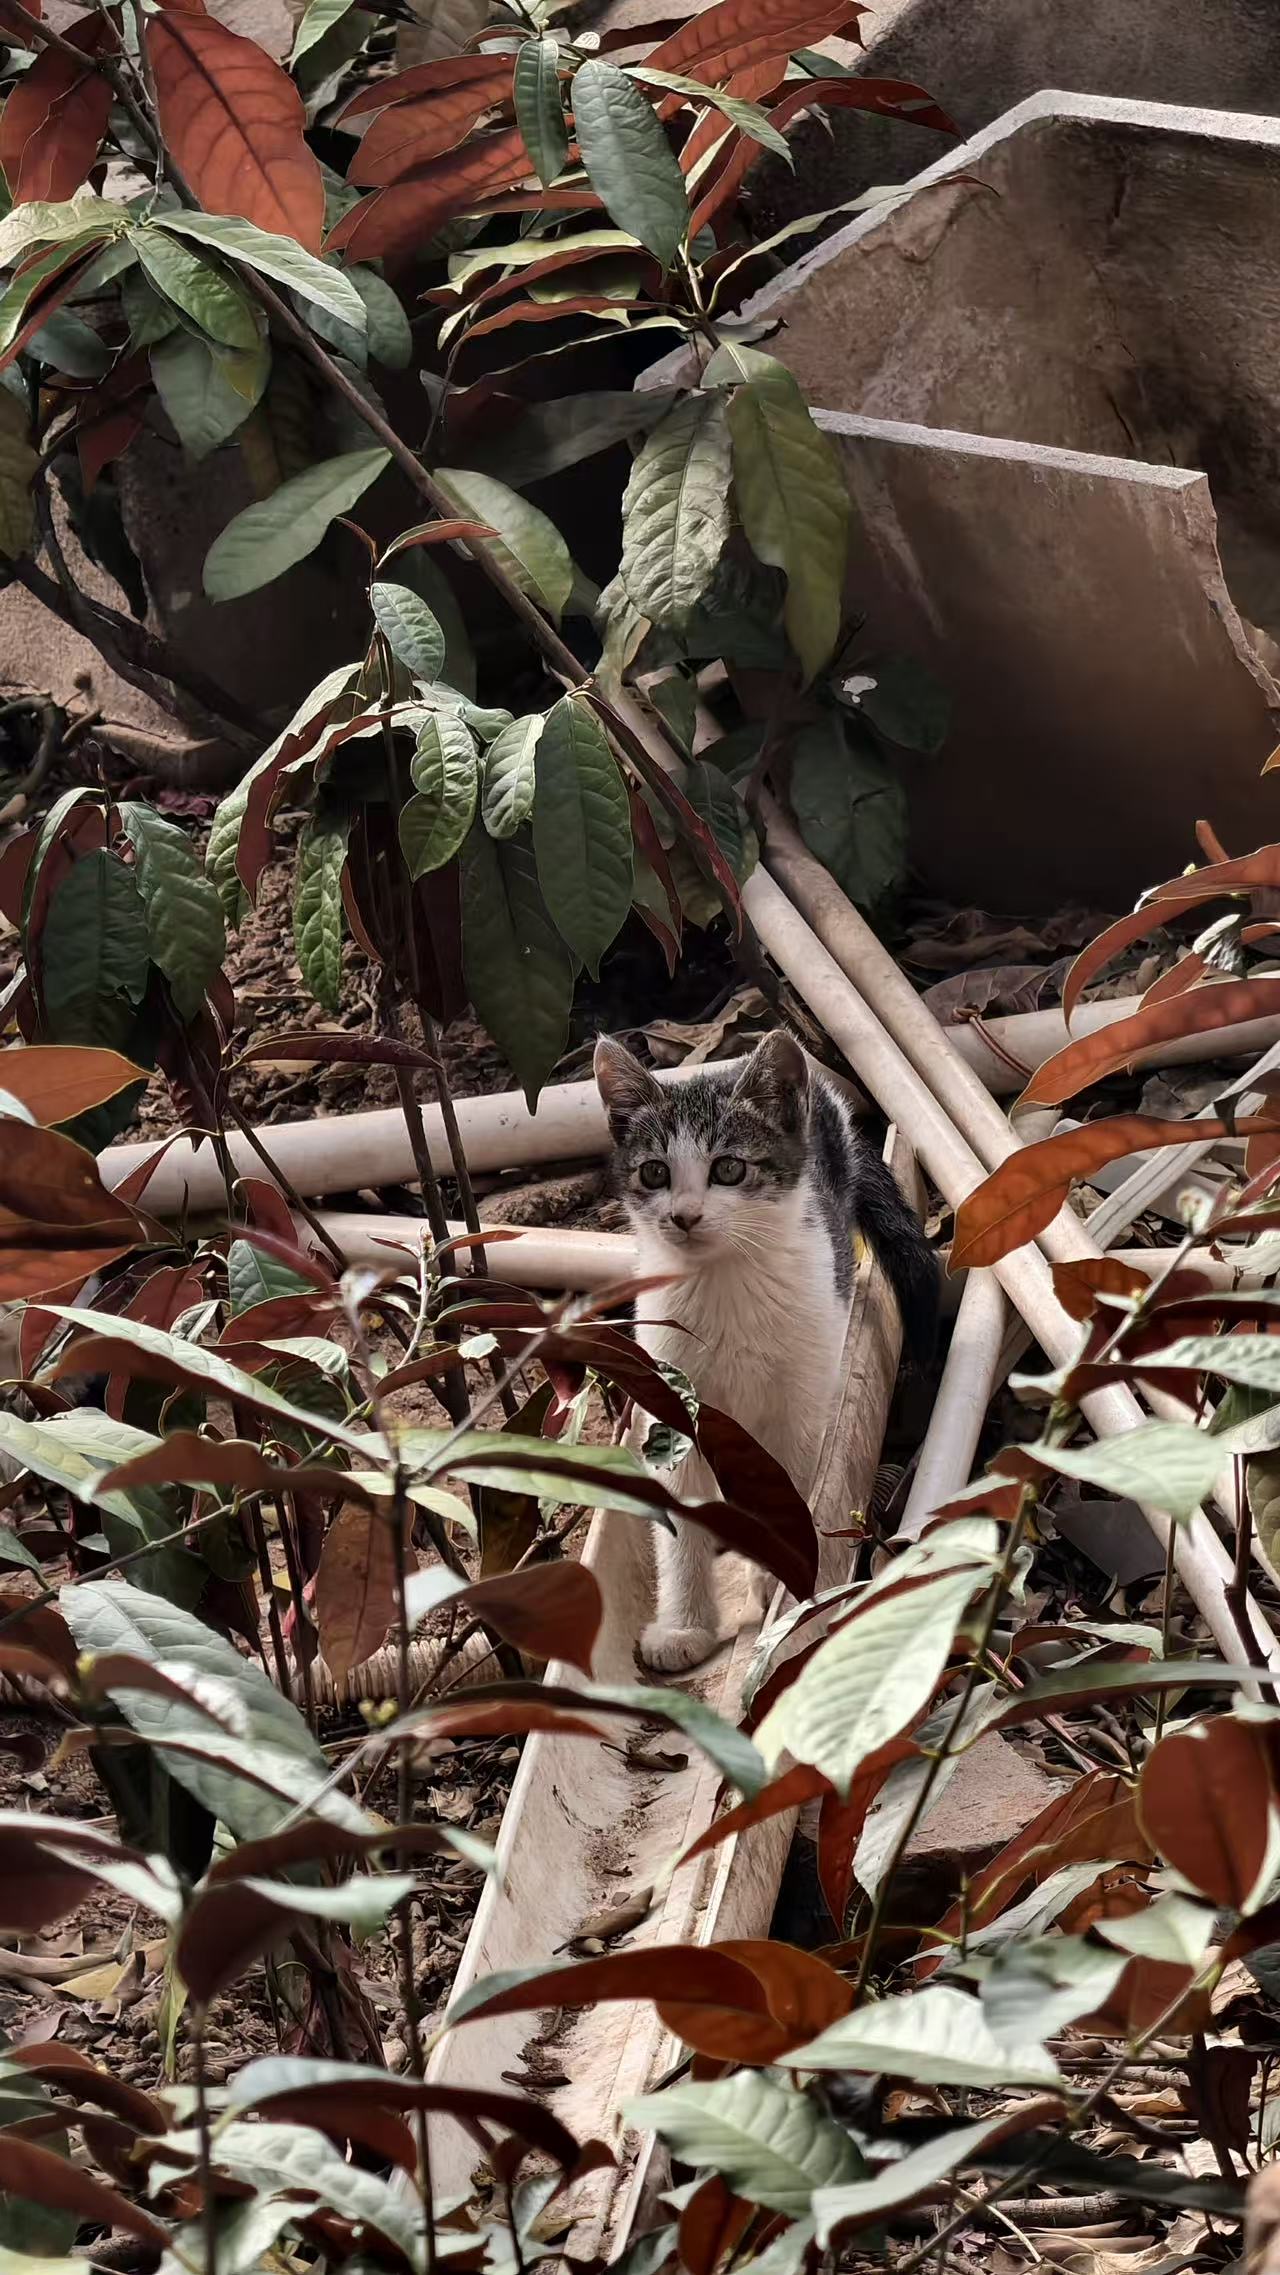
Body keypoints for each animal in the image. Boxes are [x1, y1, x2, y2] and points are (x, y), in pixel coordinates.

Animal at [595, 1028, 937, 1673]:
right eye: (653, 1173)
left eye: (728, 1168)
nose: (684, 1216)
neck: (725, 1281)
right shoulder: (674, 1396)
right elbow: (679, 1510)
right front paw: (683, 1628)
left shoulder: (802, 1401)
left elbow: (796, 1487)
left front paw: (777, 1580)